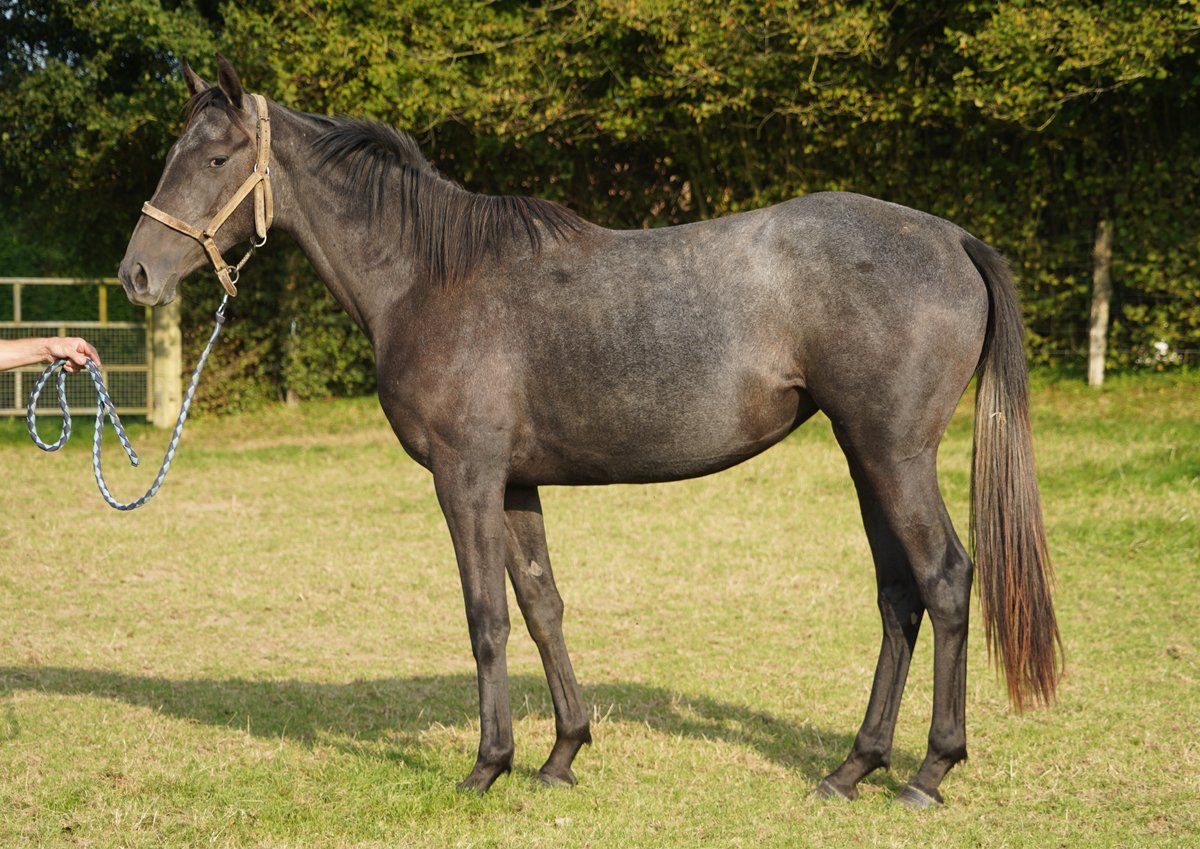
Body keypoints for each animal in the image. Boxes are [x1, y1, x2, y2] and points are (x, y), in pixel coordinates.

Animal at [117, 57, 1060, 807]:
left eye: (215, 158)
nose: (136, 274)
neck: (430, 276)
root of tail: (952, 238)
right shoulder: (514, 483)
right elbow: (542, 606)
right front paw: (561, 754)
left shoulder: (464, 478)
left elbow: (486, 616)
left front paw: (487, 765)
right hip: (866, 458)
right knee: (899, 598)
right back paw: (852, 767)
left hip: (894, 456)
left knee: (945, 581)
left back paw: (929, 771)